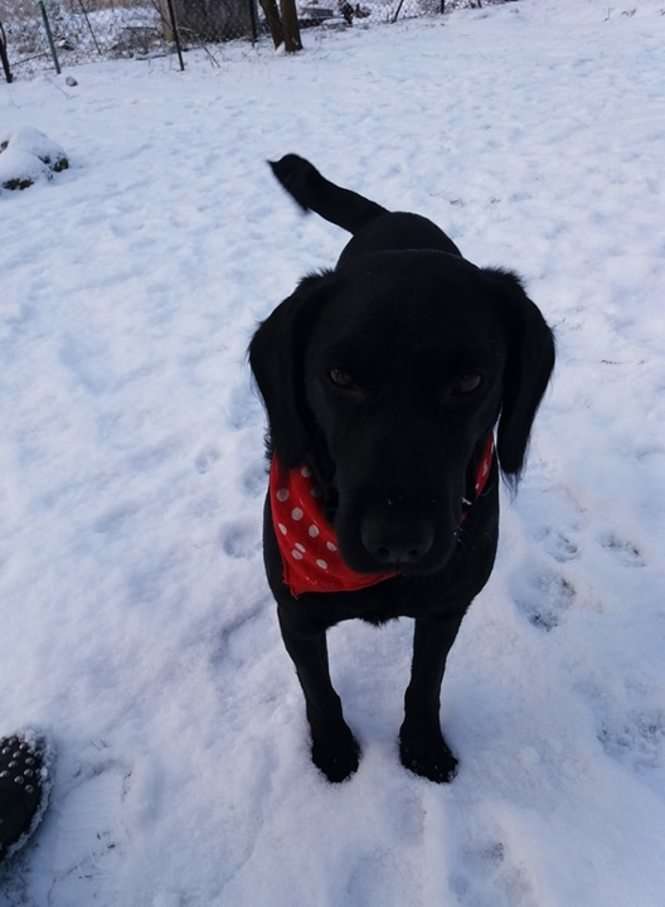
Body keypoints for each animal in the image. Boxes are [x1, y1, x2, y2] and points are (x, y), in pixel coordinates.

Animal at [249, 155, 555, 783]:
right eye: (339, 376)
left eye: (470, 380)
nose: (397, 540)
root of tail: (392, 217)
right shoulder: (296, 614)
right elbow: (319, 689)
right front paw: (333, 750)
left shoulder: (445, 607)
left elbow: (425, 682)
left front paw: (422, 746)